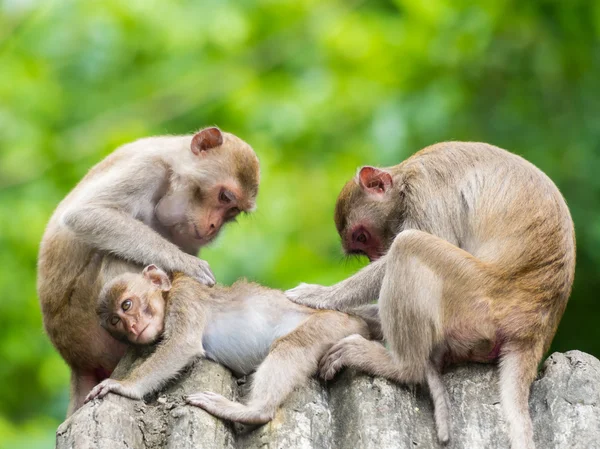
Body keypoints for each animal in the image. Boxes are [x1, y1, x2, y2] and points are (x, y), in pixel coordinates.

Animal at [37, 125, 260, 412]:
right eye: (225, 196)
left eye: (233, 211)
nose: (213, 228)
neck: (173, 168)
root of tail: (73, 360)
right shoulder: (147, 169)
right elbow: (86, 214)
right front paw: (190, 265)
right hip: (85, 327)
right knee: (112, 257)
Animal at [84, 264, 400, 428]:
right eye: (115, 321)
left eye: (127, 305)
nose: (132, 327)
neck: (168, 294)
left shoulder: (186, 296)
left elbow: (182, 344)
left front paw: (122, 386)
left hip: (334, 323)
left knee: (292, 345)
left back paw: (253, 411)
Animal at [288, 141, 580, 448]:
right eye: (361, 246)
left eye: (361, 237)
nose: (373, 257)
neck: (404, 178)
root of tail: (533, 333)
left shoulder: (427, 188)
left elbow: (429, 237)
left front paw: (322, 294)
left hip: (476, 300)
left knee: (408, 245)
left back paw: (401, 367)